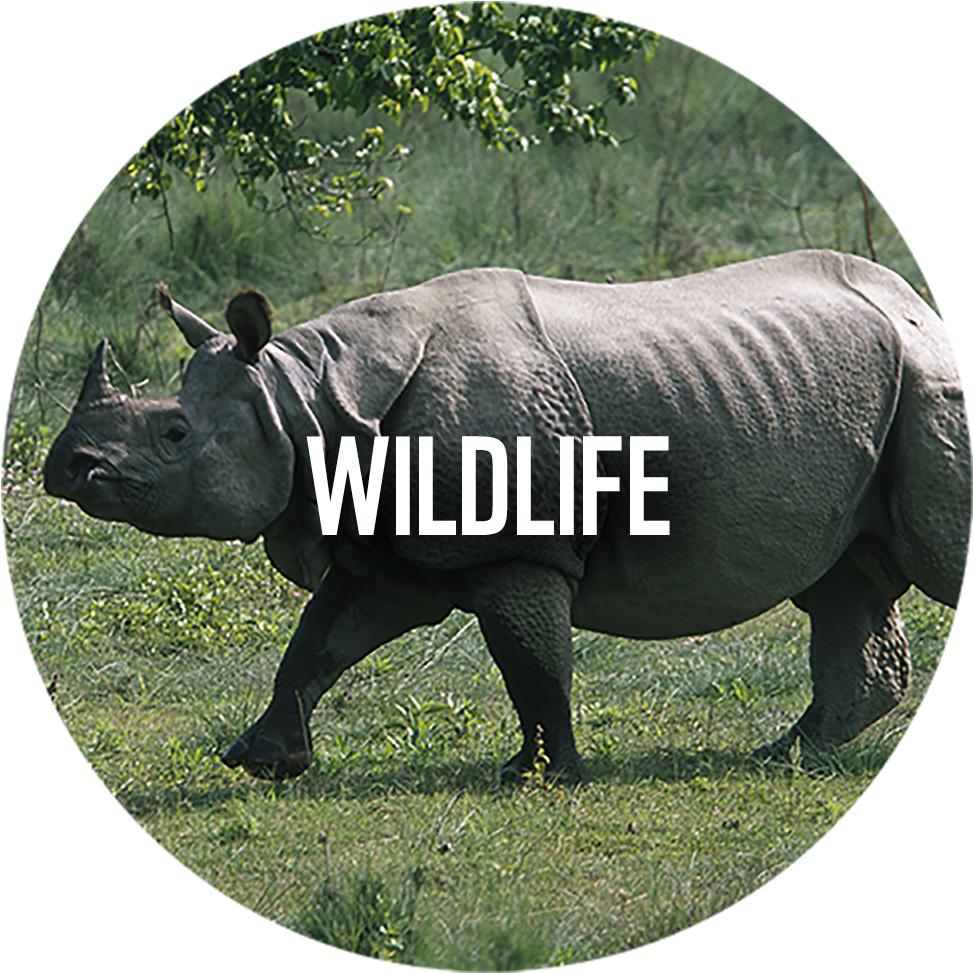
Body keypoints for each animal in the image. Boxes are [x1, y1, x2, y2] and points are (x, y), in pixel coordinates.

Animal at [43, 250, 970, 781]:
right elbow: (317, 641)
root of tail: (917, 306)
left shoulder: (513, 549)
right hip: (865, 387)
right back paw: (783, 754)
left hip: (927, 380)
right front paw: (263, 762)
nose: (66, 467)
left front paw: (538, 776)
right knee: (843, 576)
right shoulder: (386, 545)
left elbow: (531, 662)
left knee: (927, 557)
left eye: (173, 433)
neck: (304, 398)